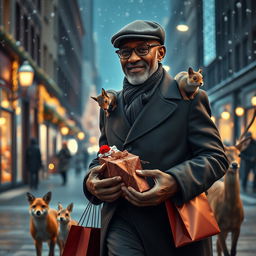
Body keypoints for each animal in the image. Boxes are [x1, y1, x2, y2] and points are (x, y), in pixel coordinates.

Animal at [207, 108, 255, 256]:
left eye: (239, 154)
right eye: (225, 154)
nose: (234, 165)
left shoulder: (237, 227)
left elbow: (233, 252)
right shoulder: (220, 227)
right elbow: (226, 252)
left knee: (218, 246)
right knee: (217, 246)